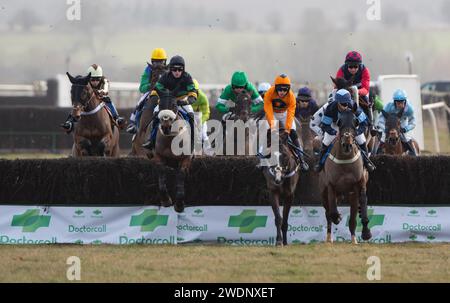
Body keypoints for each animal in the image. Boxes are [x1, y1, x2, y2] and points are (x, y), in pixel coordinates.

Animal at [320, 110, 372, 246]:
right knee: (328, 213)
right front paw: (338, 217)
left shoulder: (358, 185)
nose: (347, 145)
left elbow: (359, 208)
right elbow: (332, 212)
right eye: (339, 122)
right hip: (325, 193)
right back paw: (329, 237)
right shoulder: (331, 185)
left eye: (356, 122)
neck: (345, 160)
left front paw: (363, 234)